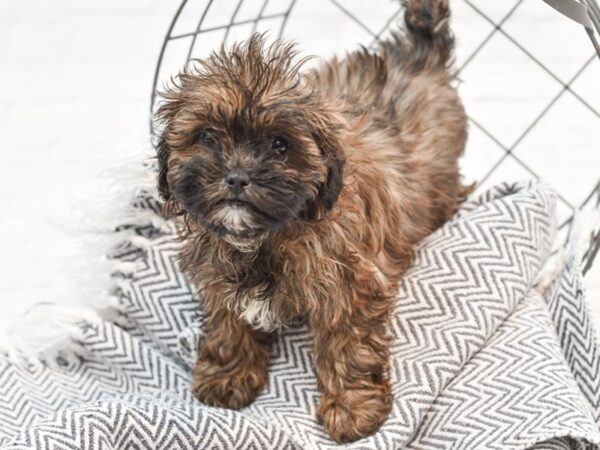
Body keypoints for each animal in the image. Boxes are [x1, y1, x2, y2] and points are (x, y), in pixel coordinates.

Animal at [152, 0, 466, 442]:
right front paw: (228, 375)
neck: (267, 237)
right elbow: (228, 324)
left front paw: (352, 408)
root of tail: (418, 56)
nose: (236, 177)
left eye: (280, 146)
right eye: (208, 137)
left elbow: (348, 346)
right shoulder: (219, 277)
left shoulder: (349, 286)